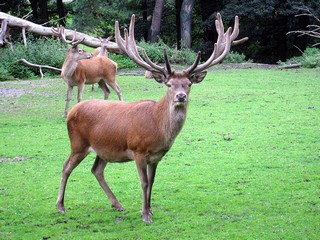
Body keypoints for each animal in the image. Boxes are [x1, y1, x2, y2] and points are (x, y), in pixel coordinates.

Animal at [56, 13, 248, 223]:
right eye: (169, 84)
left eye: (188, 84)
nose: (181, 96)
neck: (157, 128)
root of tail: (73, 111)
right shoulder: (138, 150)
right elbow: (144, 182)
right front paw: (146, 215)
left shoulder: (157, 156)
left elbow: (153, 181)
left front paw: (148, 209)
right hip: (78, 143)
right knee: (66, 167)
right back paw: (60, 206)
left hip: (103, 148)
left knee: (96, 170)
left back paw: (117, 204)